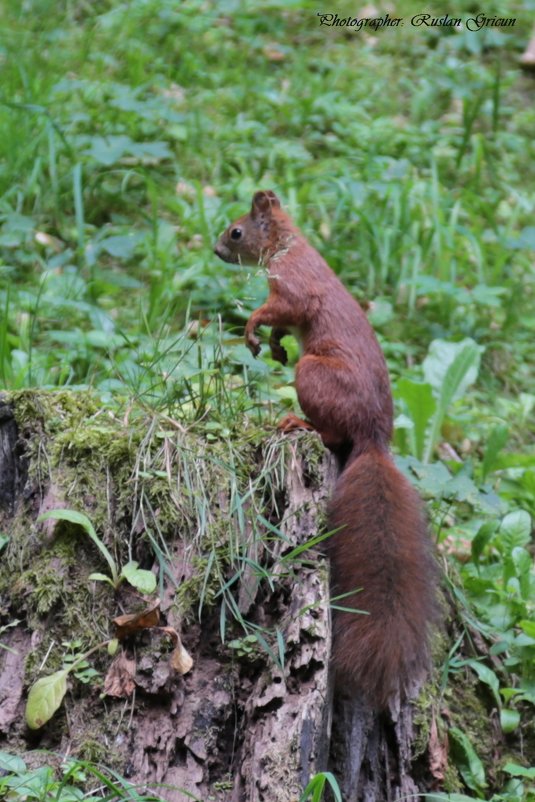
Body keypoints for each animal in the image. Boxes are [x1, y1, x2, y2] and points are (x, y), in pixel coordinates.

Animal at [215, 189, 440, 708]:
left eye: (236, 231)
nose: (216, 251)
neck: (288, 245)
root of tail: (373, 437)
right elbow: (279, 328)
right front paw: (275, 346)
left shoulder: (293, 290)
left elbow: (274, 311)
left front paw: (253, 332)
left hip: (313, 375)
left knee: (331, 435)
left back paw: (297, 420)